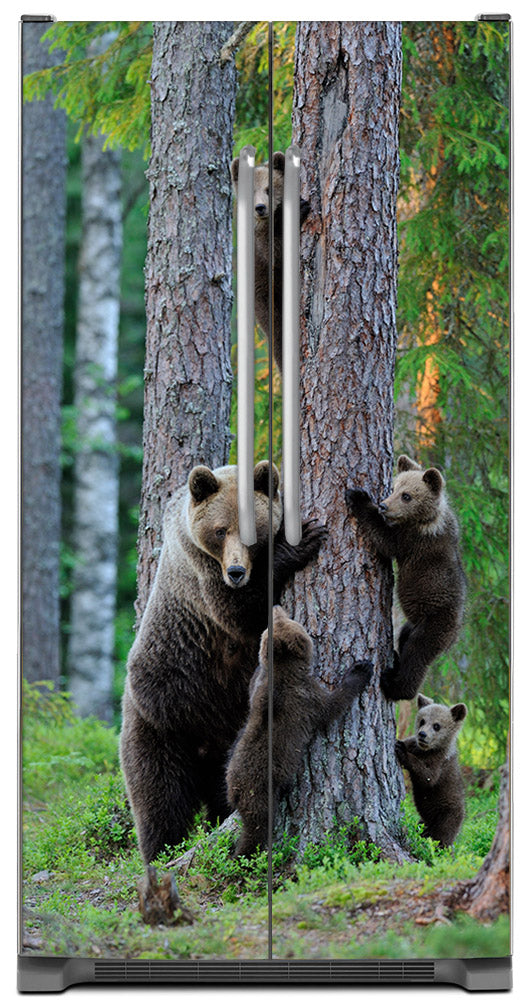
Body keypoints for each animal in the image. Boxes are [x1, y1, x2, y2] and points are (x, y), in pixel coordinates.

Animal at [120, 461, 327, 864]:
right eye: (220, 530)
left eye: (253, 530)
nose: (235, 571)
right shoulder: (201, 572)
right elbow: (239, 613)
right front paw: (299, 543)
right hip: (160, 719)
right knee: (159, 798)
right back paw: (160, 853)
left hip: (229, 739)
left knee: (221, 793)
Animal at [225, 605, 373, 857]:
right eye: (286, 619)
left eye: (279, 619)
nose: (276, 606)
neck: (284, 671)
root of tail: (234, 791)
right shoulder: (307, 699)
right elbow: (333, 705)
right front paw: (360, 669)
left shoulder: (259, 690)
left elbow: (252, 687)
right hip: (260, 794)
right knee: (257, 828)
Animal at [230, 150, 310, 374]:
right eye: (252, 191)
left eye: (269, 189)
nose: (260, 208)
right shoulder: (260, 243)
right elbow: (276, 252)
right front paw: (301, 210)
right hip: (264, 297)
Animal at [345, 455, 466, 702]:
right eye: (394, 488)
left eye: (407, 495)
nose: (384, 505)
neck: (426, 518)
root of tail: (456, 633)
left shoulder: (413, 541)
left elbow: (385, 539)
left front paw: (359, 497)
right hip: (413, 624)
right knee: (404, 638)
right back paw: (394, 659)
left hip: (435, 623)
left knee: (417, 655)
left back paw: (395, 685)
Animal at [395, 693, 467, 847]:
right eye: (422, 720)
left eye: (437, 725)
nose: (422, 734)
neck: (427, 750)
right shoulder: (415, 744)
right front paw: (399, 742)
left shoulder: (439, 763)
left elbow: (427, 777)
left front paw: (401, 751)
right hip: (425, 822)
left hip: (447, 815)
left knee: (442, 838)